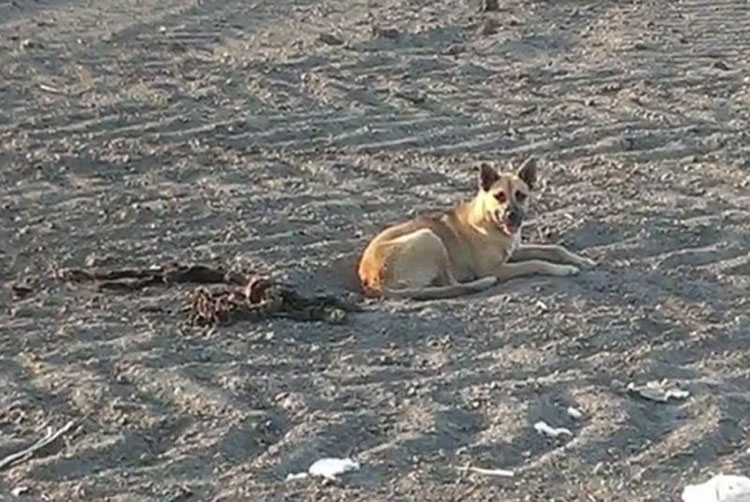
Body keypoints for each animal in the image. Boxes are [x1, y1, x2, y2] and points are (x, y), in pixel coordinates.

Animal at [356, 157, 596, 298]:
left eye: (521, 195)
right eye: (499, 196)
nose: (512, 216)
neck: (490, 222)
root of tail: (369, 279)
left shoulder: (515, 249)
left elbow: (554, 248)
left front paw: (581, 260)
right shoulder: (496, 268)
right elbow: (536, 262)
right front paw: (563, 269)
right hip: (429, 237)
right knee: (452, 284)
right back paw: (481, 283)